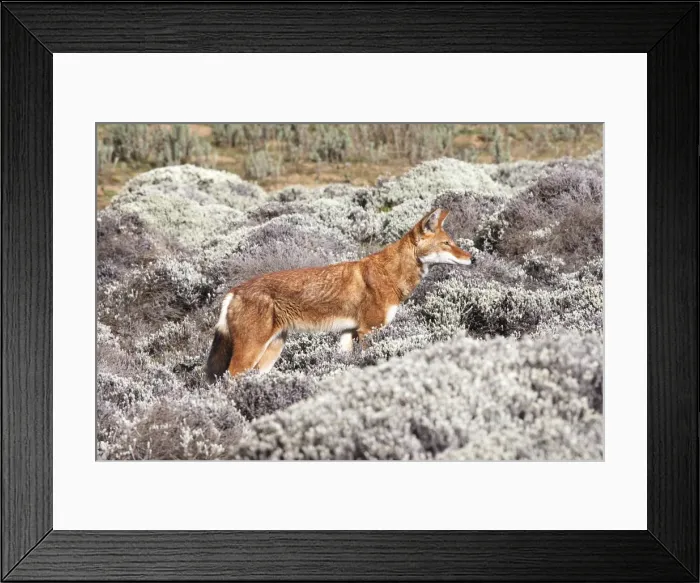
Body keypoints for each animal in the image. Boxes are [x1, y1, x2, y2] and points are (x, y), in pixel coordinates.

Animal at [205, 208, 473, 381]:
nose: (473, 258)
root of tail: (234, 291)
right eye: (447, 244)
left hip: (271, 352)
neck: (389, 275)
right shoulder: (368, 331)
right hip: (250, 353)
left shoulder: (348, 333)